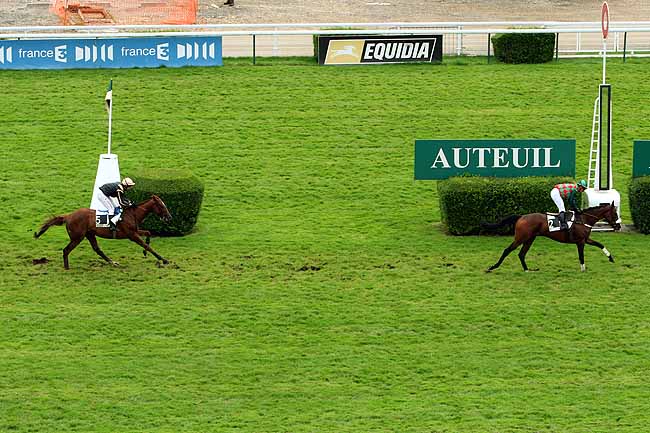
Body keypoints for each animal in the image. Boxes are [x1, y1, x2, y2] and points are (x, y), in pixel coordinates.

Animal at [34, 195, 172, 269]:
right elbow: (147, 246)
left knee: (97, 249)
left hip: (89, 234)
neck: (132, 214)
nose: (169, 217)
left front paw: (145, 252)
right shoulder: (132, 235)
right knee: (66, 250)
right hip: (77, 237)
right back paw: (67, 267)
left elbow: (148, 234)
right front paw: (163, 260)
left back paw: (113, 262)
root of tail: (68, 216)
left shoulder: (135, 231)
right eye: (161, 205)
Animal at [483, 202, 621, 273]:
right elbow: (581, 256)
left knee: (521, 254)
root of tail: (521, 217)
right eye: (615, 213)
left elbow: (600, 244)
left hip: (530, 239)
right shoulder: (580, 242)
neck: (583, 219)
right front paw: (583, 269)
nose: (618, 226)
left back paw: (527, 269)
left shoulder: (585, 239)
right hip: (520, 238)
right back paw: (492, 267)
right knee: (507, 250)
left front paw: (611, 258)